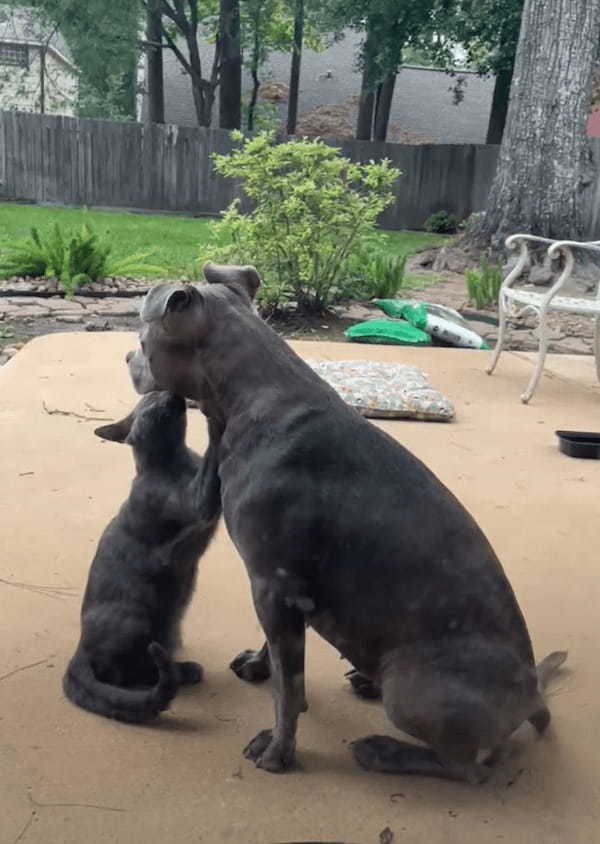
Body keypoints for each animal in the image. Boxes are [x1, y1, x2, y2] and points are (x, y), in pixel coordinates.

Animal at [127, 264, 568, 784]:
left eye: (142, 333)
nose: (127, 355)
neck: (254, 398)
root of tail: (533, 694)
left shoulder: (272, 584)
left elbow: (289, 689)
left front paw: (277, 750)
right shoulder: (280, 591)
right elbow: (278, 658)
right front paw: (258, 665)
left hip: (411, 690)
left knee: (467, 767)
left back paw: (385, 751)